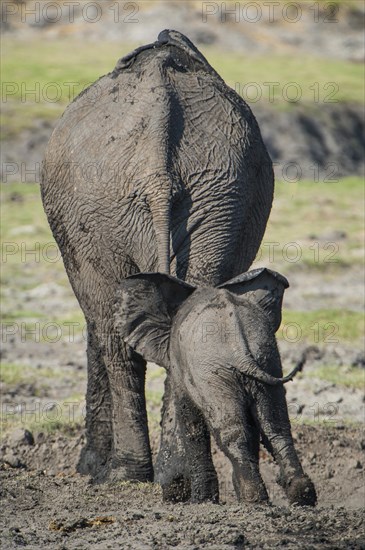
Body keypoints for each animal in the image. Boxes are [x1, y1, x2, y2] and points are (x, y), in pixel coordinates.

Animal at [40, 30, 272, 492]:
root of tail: (155, 167)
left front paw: (91, 468)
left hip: (108, 206)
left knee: (113, 335)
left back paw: (127, 475)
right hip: (219, 191)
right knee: (189, 312)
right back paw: (187, 486)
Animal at [114, 268, 316, 508]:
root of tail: (241, 350)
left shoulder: (182, 364)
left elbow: (190, 418)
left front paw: (201, 500)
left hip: (214, 373)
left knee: (231, 429)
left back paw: (253, 498)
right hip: (268, 359)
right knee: (275, 425)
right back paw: (302, 495)